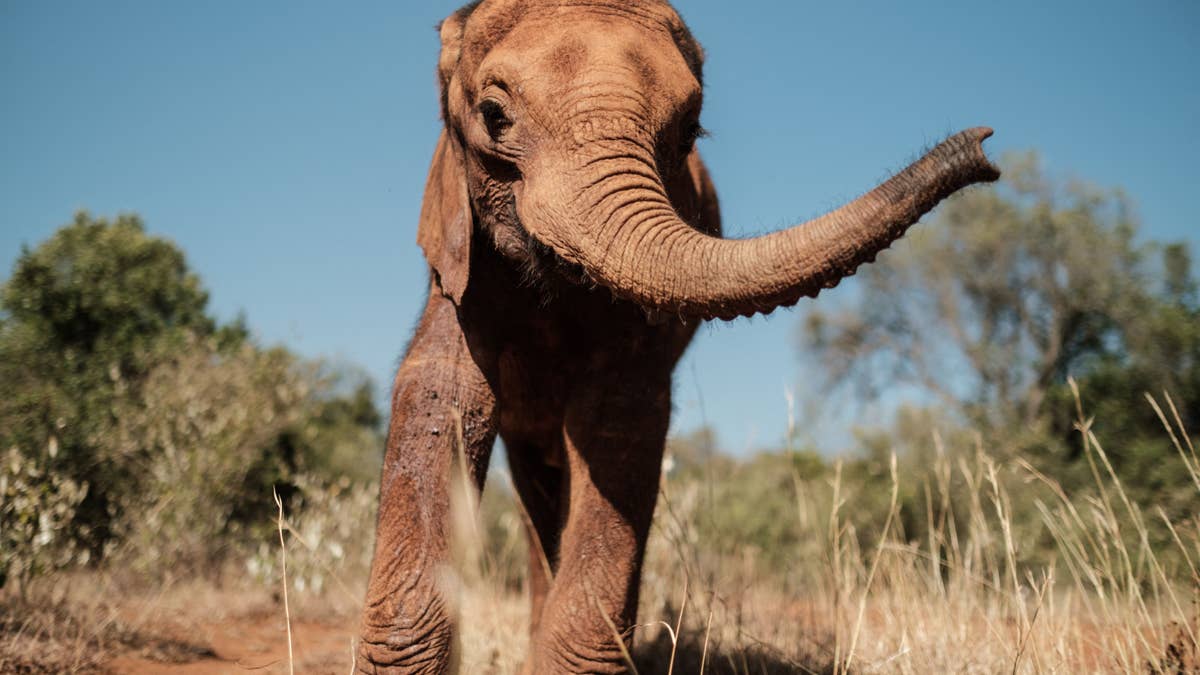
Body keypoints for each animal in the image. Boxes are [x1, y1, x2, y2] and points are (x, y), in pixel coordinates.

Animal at [356, 0, 998, 672]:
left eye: (690, 131)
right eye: (492, 116)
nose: (983, 148)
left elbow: (618, 418)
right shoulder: (459, 251)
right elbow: (442, 392)